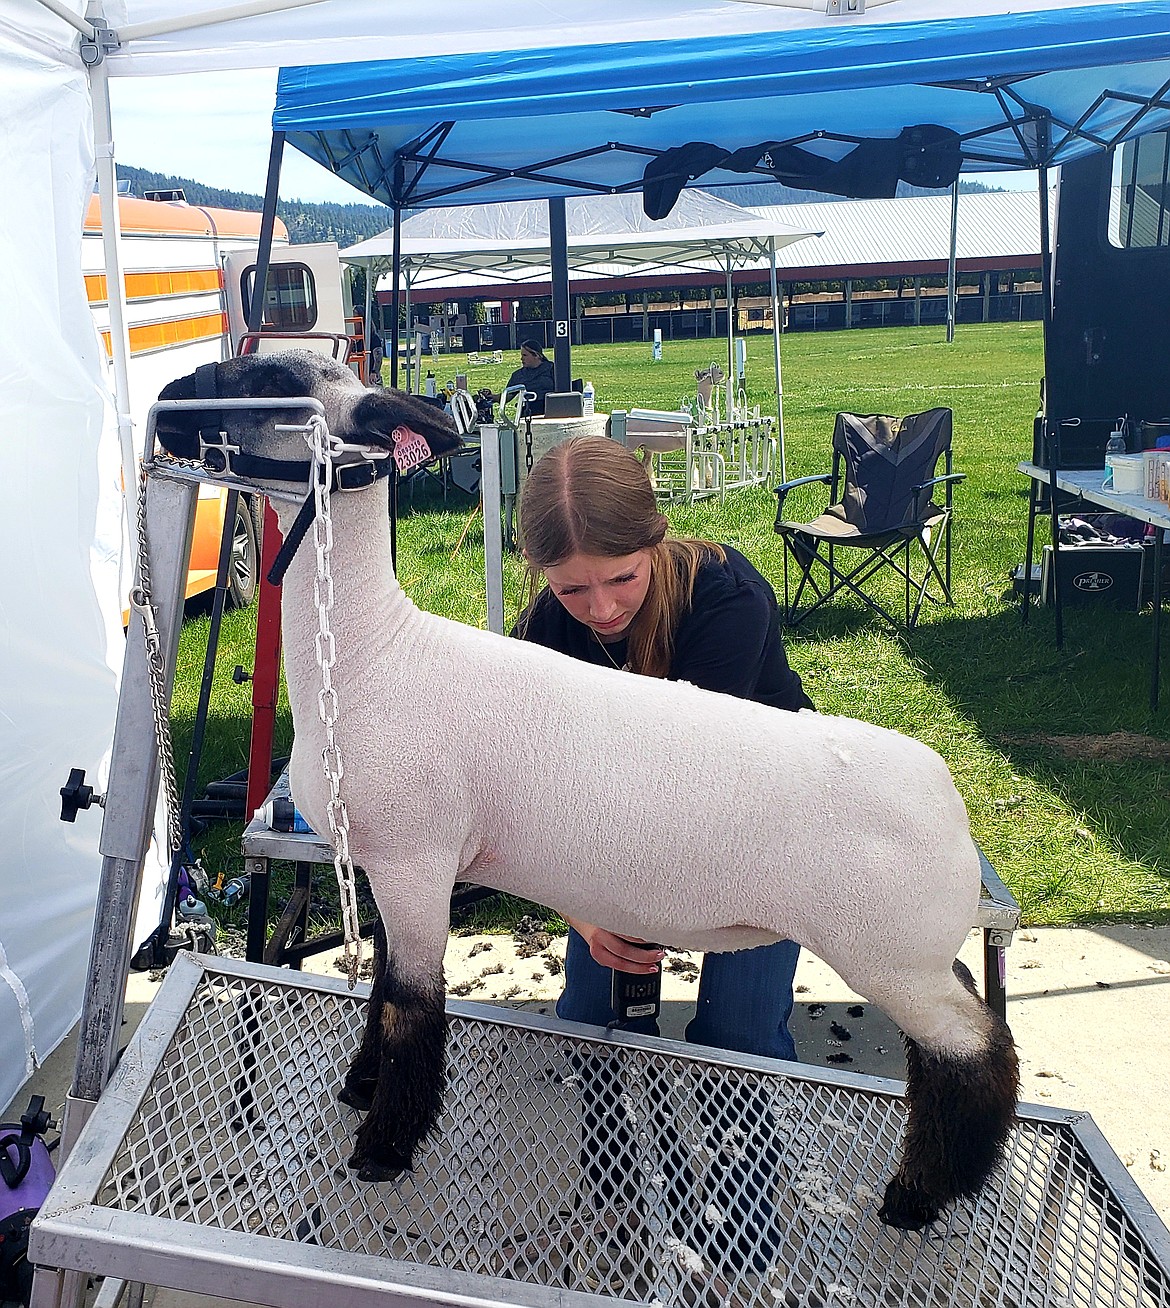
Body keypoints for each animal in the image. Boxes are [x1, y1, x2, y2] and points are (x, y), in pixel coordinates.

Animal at [155, 353, 1015, 1229]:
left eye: (264, 380)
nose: (163, 403)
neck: (370, 654)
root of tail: (945, 794)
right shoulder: (395, 868)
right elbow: (389, 988)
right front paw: (364, 1090)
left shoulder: (415, 859)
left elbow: (408, 1006)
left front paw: (383, 1147)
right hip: (913, 949)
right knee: (962, 1023)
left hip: (889, 952)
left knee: (971, 1048)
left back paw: (920, 1194)